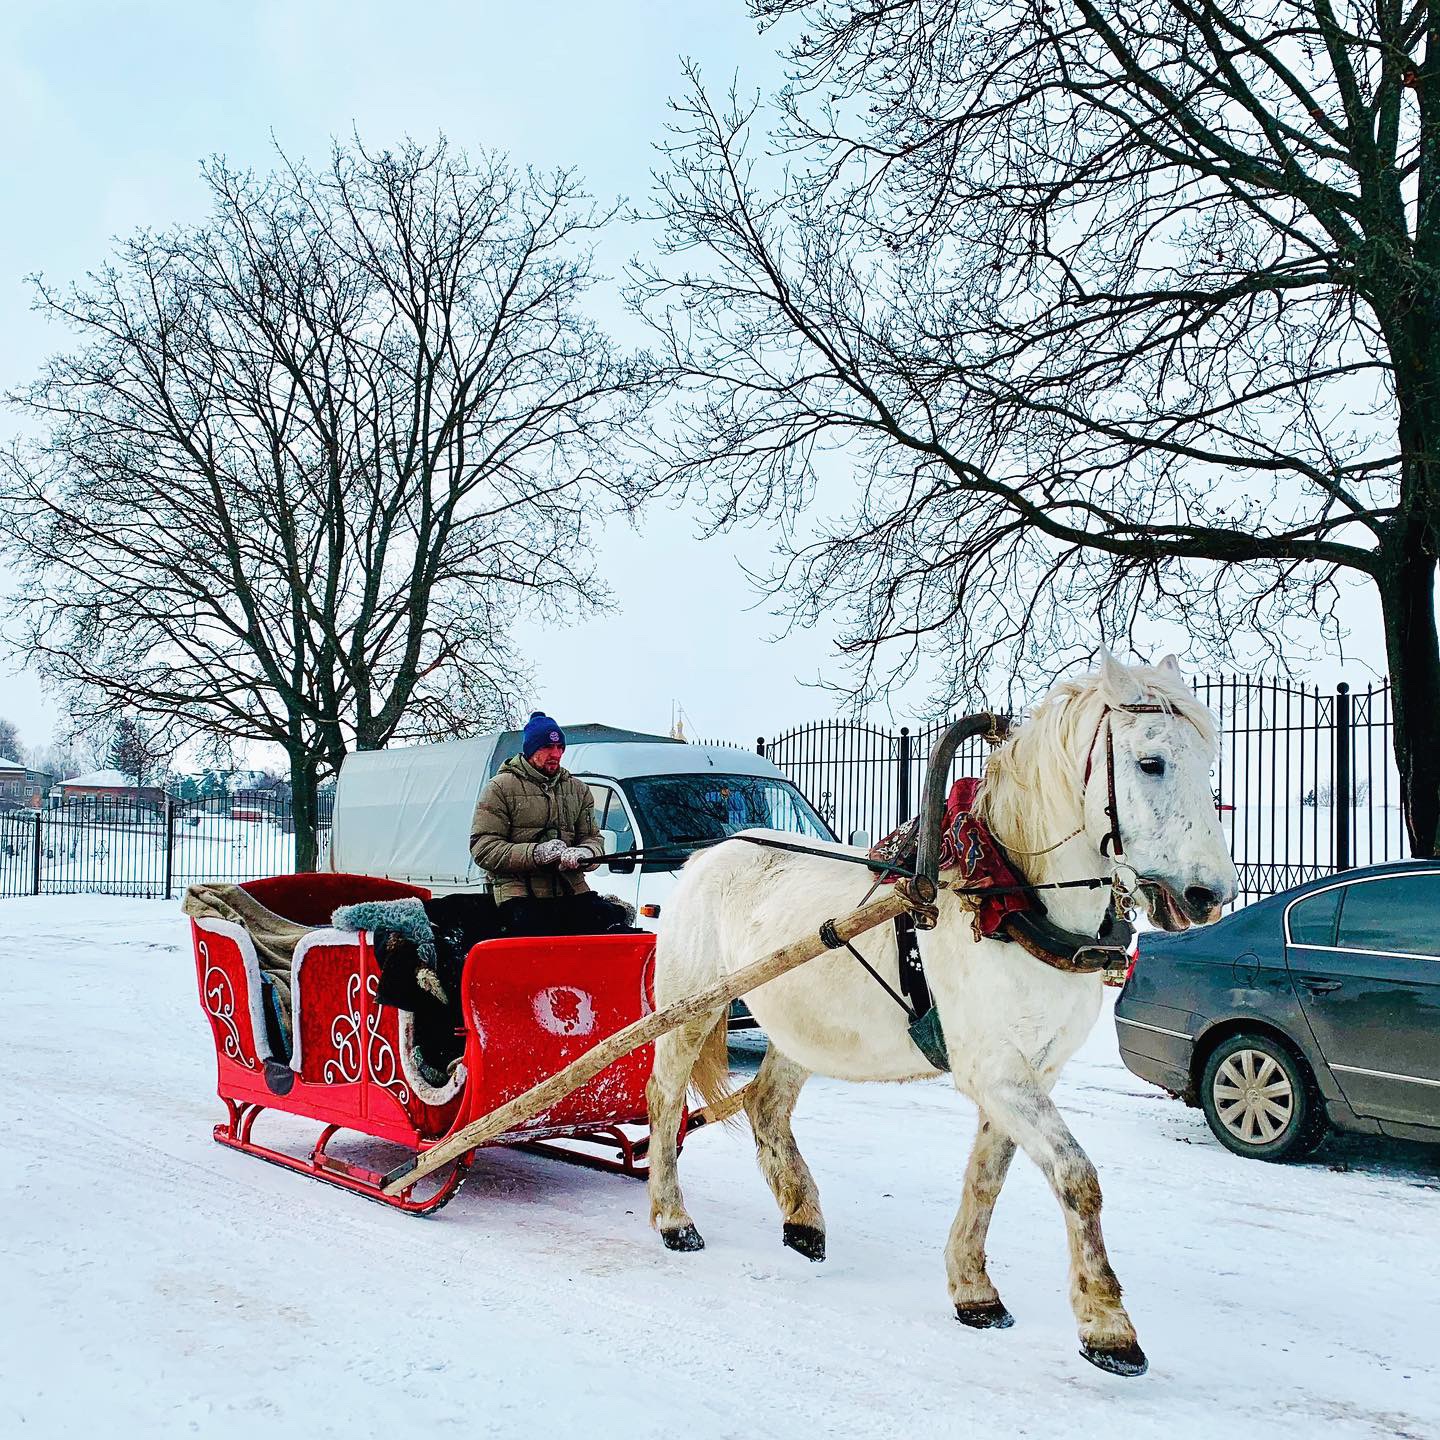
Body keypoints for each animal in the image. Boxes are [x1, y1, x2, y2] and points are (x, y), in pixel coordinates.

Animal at [645, 653, 1238, 1370]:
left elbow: (987, 1179)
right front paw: (1107, 1324)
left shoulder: (1030, 1074)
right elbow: (1077, 1175)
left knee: (767, 1105)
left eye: (1210, 762)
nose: (1210, 894)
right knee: (663, 1098)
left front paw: (974, 1289)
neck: (1010, 899)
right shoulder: (996, 1072)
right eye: (1151, 762)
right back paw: (673, 1218)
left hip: (802, 1026)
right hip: (690, 1009)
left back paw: (802, 1219)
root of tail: (709, 853)